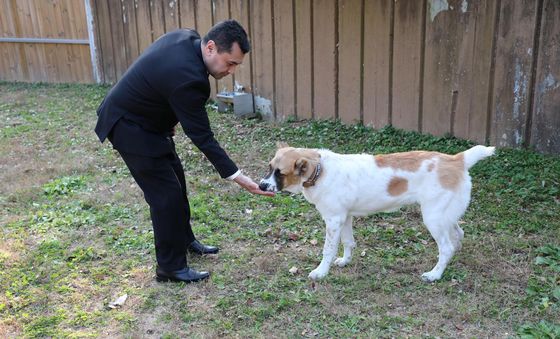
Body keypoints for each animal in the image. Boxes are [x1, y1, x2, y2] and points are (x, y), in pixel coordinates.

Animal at [258, 143, 494, 282]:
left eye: (280, 173)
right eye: (269, 167)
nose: (261, 185)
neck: (320, 170)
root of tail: (457, 159)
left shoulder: (333, 220)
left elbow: (328, 250)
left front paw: (321, 272)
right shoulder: (345, 217)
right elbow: (348, 243)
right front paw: (345, 261)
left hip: (433, 218)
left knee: (446, 247)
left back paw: (435, 274)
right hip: (446, 216)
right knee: (458, 236)